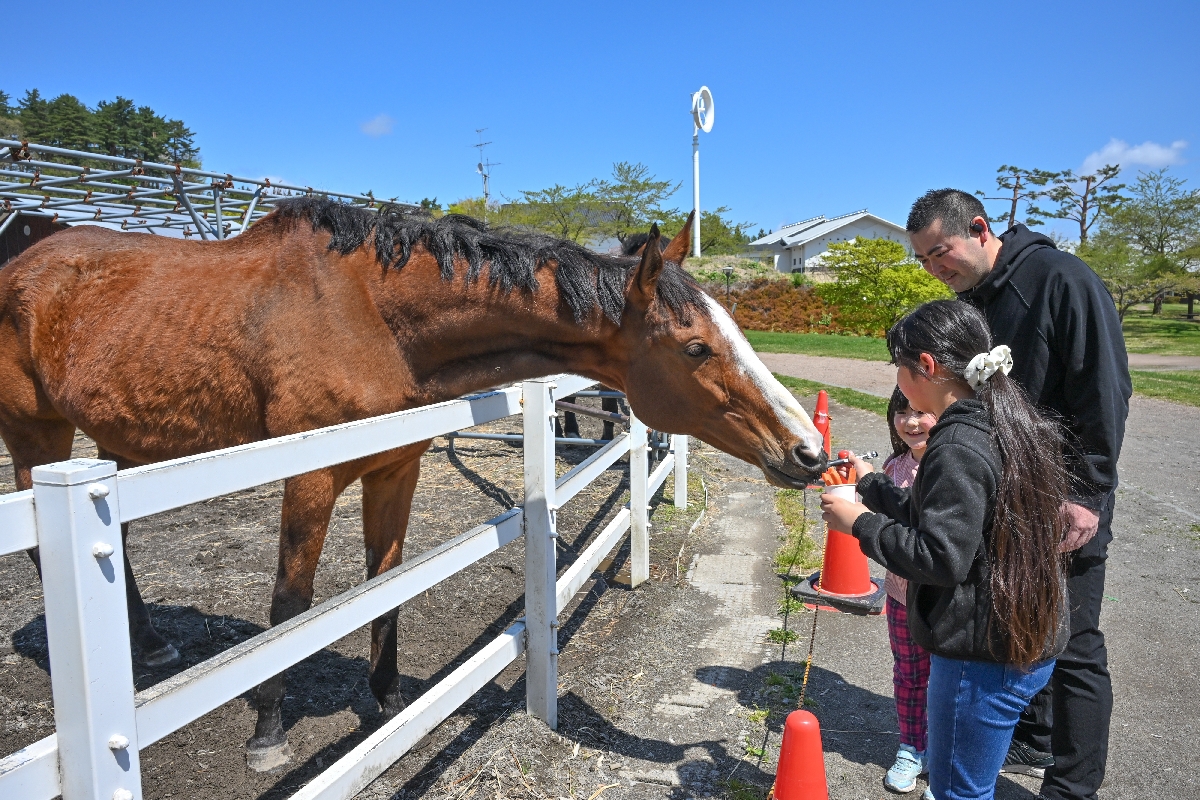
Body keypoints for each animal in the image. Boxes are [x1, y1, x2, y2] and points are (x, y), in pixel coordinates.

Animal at [0, 199, 827, 770]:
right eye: (694, 347)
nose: (810, 451)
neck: (369, 315)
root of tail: (25, 261)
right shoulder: (309, 477)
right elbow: (290, 606)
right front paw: (268, 731)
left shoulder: (395, 467)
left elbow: (386, 582)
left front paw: (391, 702)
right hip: (38, 438)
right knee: (47, 549)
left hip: (121, 441)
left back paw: (148, 643)